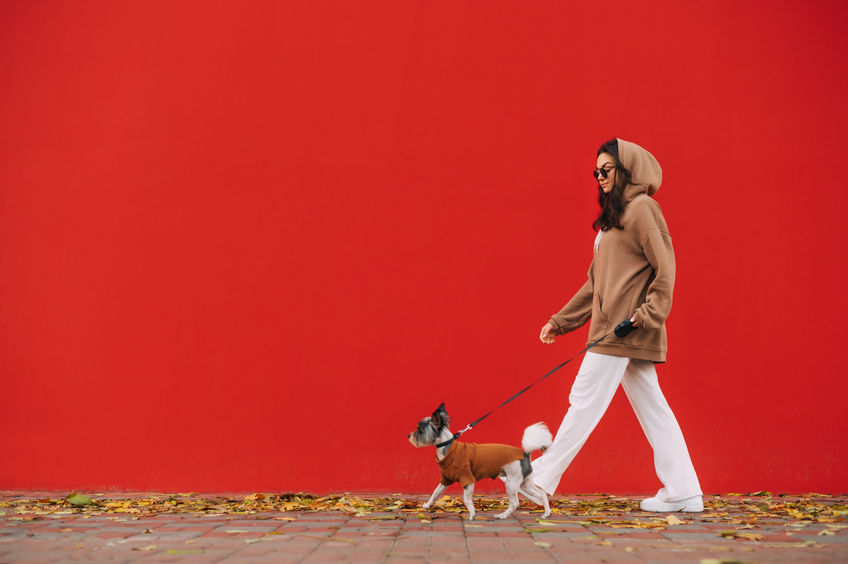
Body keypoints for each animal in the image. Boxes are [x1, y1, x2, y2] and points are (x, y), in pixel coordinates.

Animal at [408, 400, 552, 520]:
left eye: (419, 430)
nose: (409, 435)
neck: (448, 448)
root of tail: (525, 454)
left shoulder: (468, 479)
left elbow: (466, 499)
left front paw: (472, 514)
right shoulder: (445, 480)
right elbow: (435, 493)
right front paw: (427, 505)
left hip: (511, 483)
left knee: (515, 503)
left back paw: (502, 515)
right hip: (525, 483)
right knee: (541, 494)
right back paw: (546, 513)